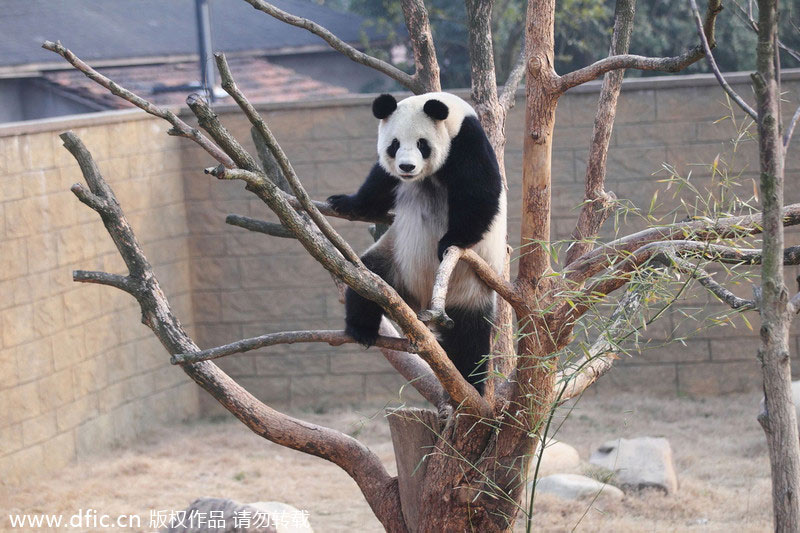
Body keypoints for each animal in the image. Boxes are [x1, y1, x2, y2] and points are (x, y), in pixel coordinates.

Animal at [326, 92, 506, 390]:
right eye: (394, 145)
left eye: (422, 144)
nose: (407, 167)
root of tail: (423, 302)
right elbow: (379, 184)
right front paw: (344, 202)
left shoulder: (467, 141)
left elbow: (480, 192)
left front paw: (449, 242)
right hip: (392, 258)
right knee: (368, 279)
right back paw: (361, 329)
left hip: (470, 289)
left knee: (470, 336)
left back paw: (471, 384)